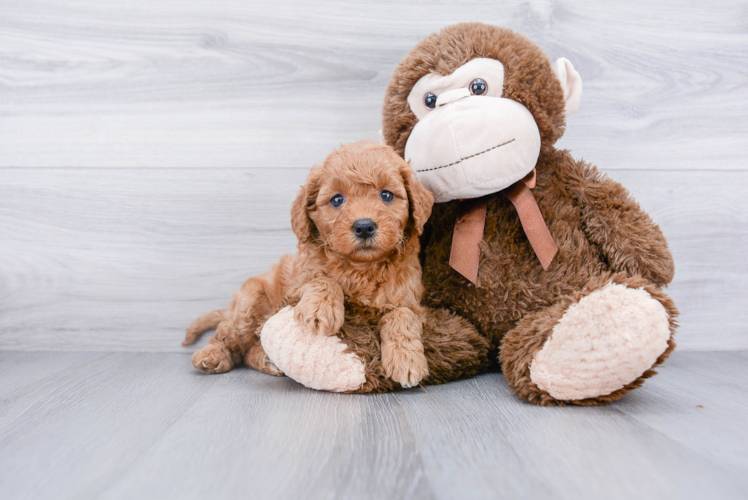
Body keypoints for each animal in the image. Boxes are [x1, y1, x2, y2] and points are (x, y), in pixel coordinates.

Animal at [183, 141, 436, 386]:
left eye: (387, 195)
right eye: (337, 199)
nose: (364, 226)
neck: (360, 267)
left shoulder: (411, 300)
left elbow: (402, 315)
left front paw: (406, 359)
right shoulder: (294, 287)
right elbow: (322, 280)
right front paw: (320, 308)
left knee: (250, 349)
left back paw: (267, 360)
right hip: (248, 302)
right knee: (230, 340)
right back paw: (212, 355)